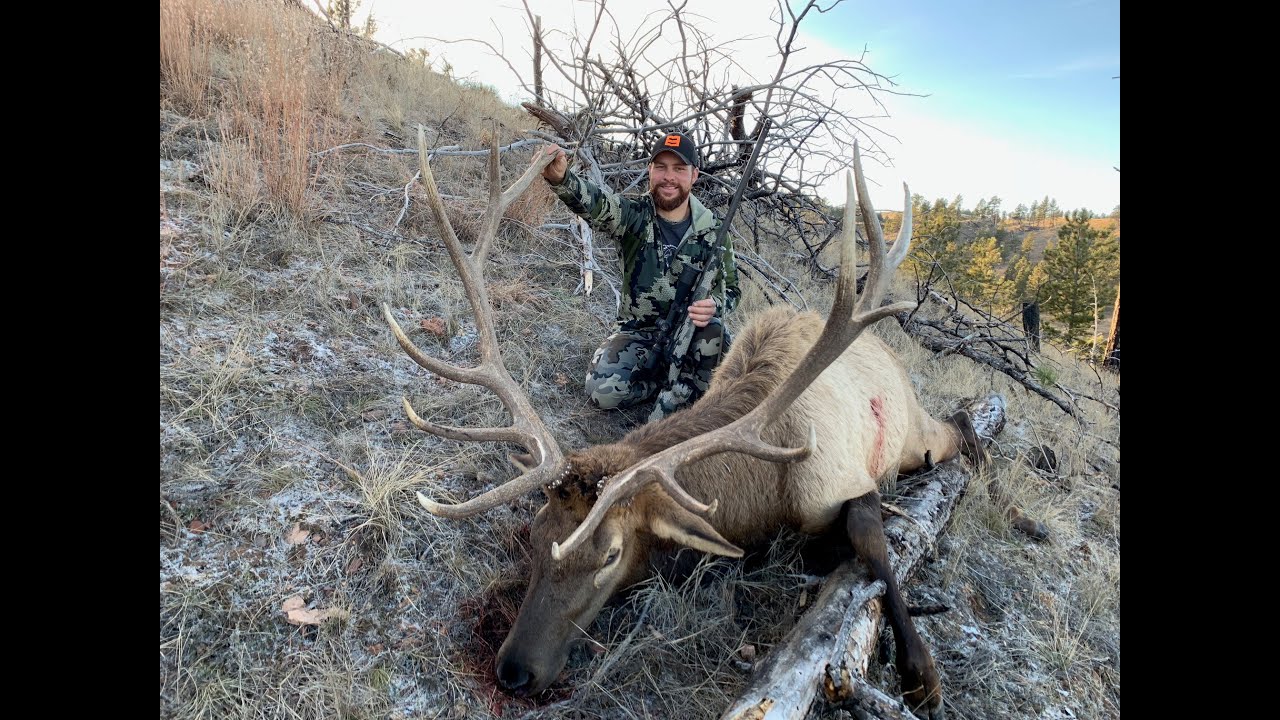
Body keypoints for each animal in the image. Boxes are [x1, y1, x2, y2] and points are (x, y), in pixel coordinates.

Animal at [382, 126, 987, 720]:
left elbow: (871, 541)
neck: (766, 496)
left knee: (946, 436)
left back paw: (976, 432)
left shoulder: (841, 479)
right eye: (537, 532)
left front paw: (922, 676)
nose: (513, 672)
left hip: (911, 428)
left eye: (610, 554)